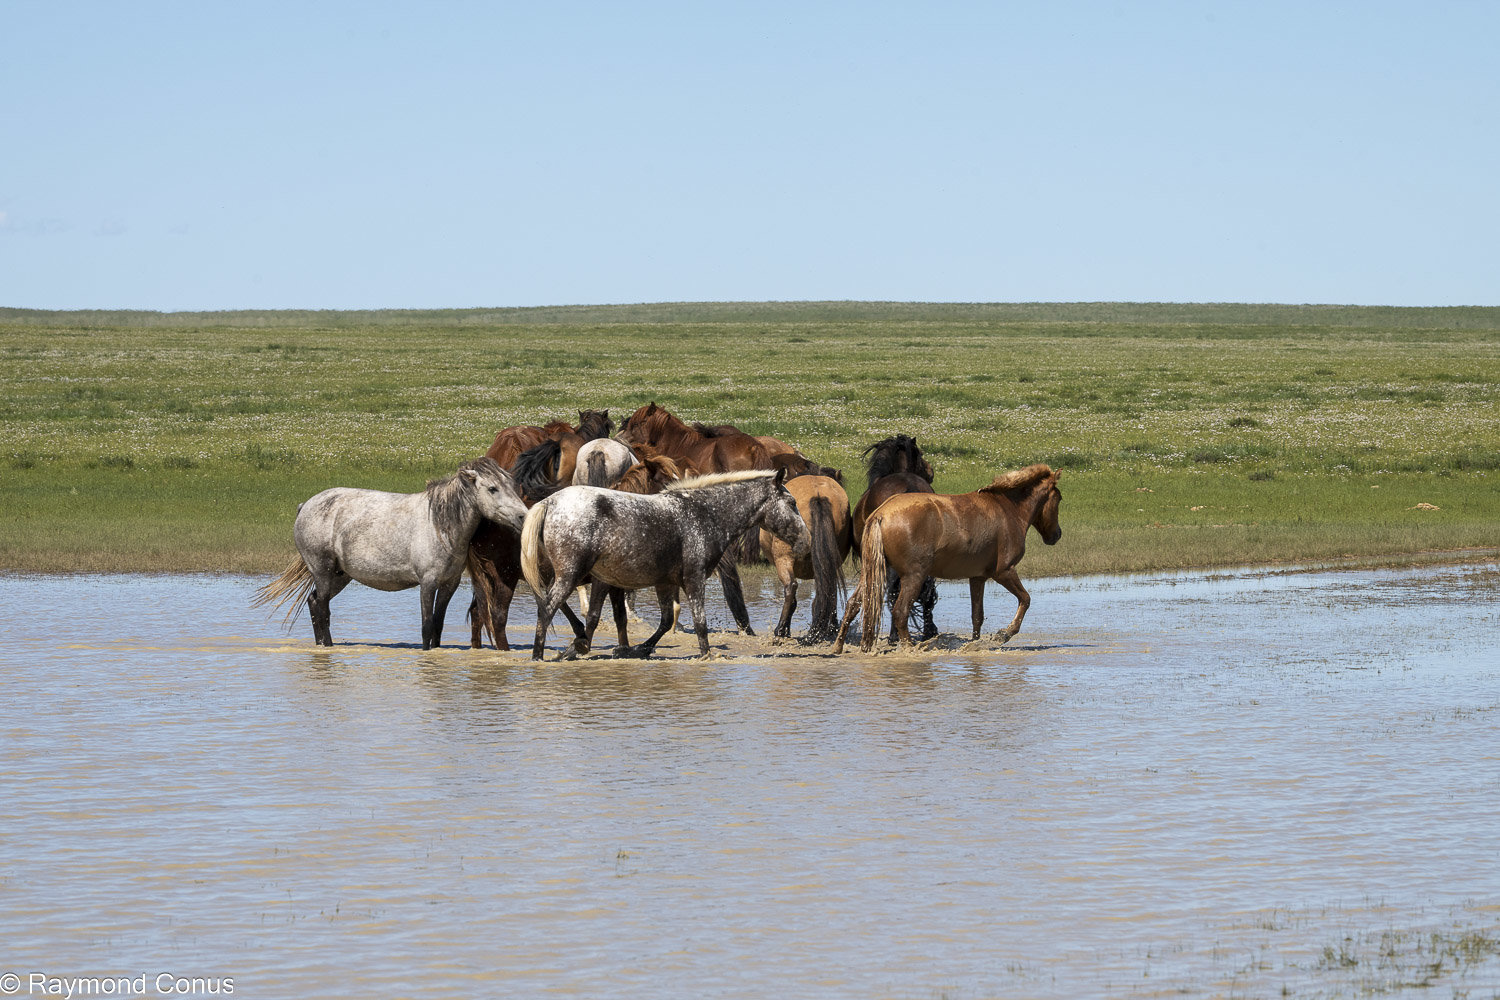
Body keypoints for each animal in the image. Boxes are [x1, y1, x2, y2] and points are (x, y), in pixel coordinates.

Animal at [253, 457, 528, 649]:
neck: (440, 525)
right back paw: (328, 647)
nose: (523, 516)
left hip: (340, 576)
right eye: (492, 489)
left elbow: (438, 625)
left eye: (511, 486)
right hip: (322, 571)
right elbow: (426, 626)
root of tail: (305, 506)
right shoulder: (427, 583)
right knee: (322, 609)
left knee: (313, 603)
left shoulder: (449, 584)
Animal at [521, 469, 809, 660]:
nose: (806, 541)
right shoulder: (694, 579)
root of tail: (550, 501)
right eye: (792, 503)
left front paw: (640, 649)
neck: (704, 514)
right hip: (570, 575)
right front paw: (706, 656)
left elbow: (665, 620)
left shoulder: (665, 583)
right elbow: (700, 622)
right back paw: (538, 656)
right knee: (547, 609)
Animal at [758, 474, 852, 642]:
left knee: (791, 587)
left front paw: (785, 629)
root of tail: (818, 495)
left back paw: (781, 629)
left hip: (784, 559)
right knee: (827, 592)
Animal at [833, 464, 1062, 653]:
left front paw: (975, 644)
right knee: (900, 611)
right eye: (1059, 498)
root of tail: (880, 514)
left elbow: (977, 615)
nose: (1057, 535)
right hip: (913, 576)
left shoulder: (977, 577)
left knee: (854, 603)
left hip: (873, 573)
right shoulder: (1004, 572)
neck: (1007, 510)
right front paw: (1003, 634)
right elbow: (1025, 599)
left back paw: (838, 645)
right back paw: (910, 647)